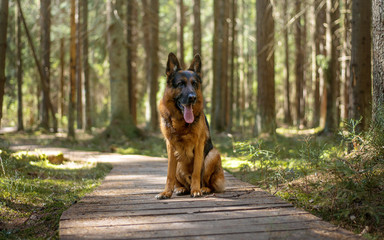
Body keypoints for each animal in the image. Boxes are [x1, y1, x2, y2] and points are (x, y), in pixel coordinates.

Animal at [156, 53, 225, 200]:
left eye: (194, 84)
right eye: (180, 84)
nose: (192, 97)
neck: (180, 123)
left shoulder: (199, 145)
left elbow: (196, 171)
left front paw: (196, 190)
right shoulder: (170, 146)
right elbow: (169, 174)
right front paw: (166, 192)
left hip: (212, 155)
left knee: (206, 181)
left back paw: (203, 188)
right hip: (178, 162)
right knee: (181, 182)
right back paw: (181, 188)